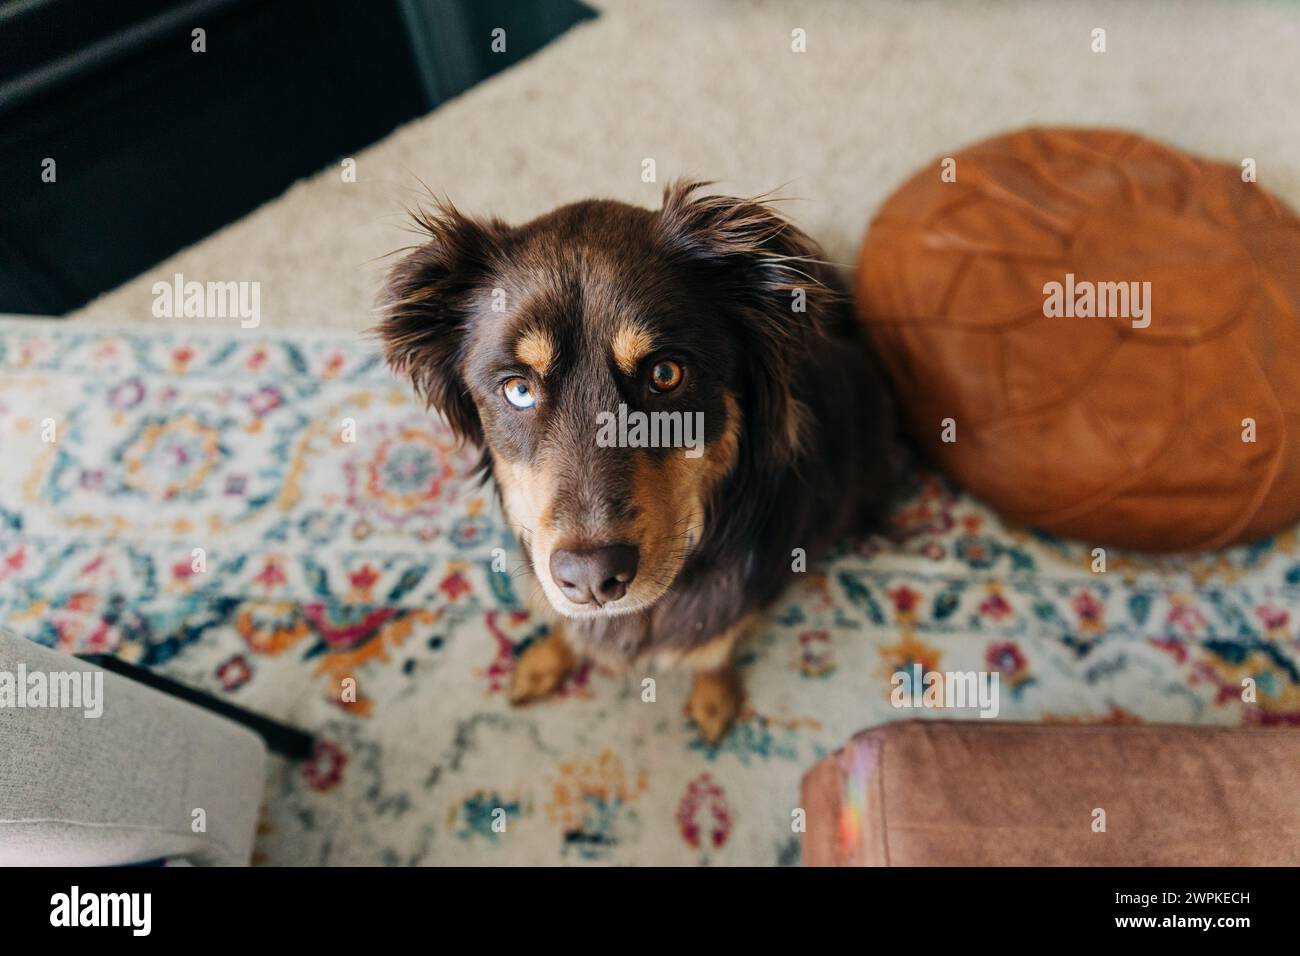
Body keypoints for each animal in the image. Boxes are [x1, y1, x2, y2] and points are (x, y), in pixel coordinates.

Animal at [371, 183, 889, 743]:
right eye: (518, 389)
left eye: (665, 374)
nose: (590, 579)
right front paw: (546, 660)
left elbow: (715, 644)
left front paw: (713, 696)